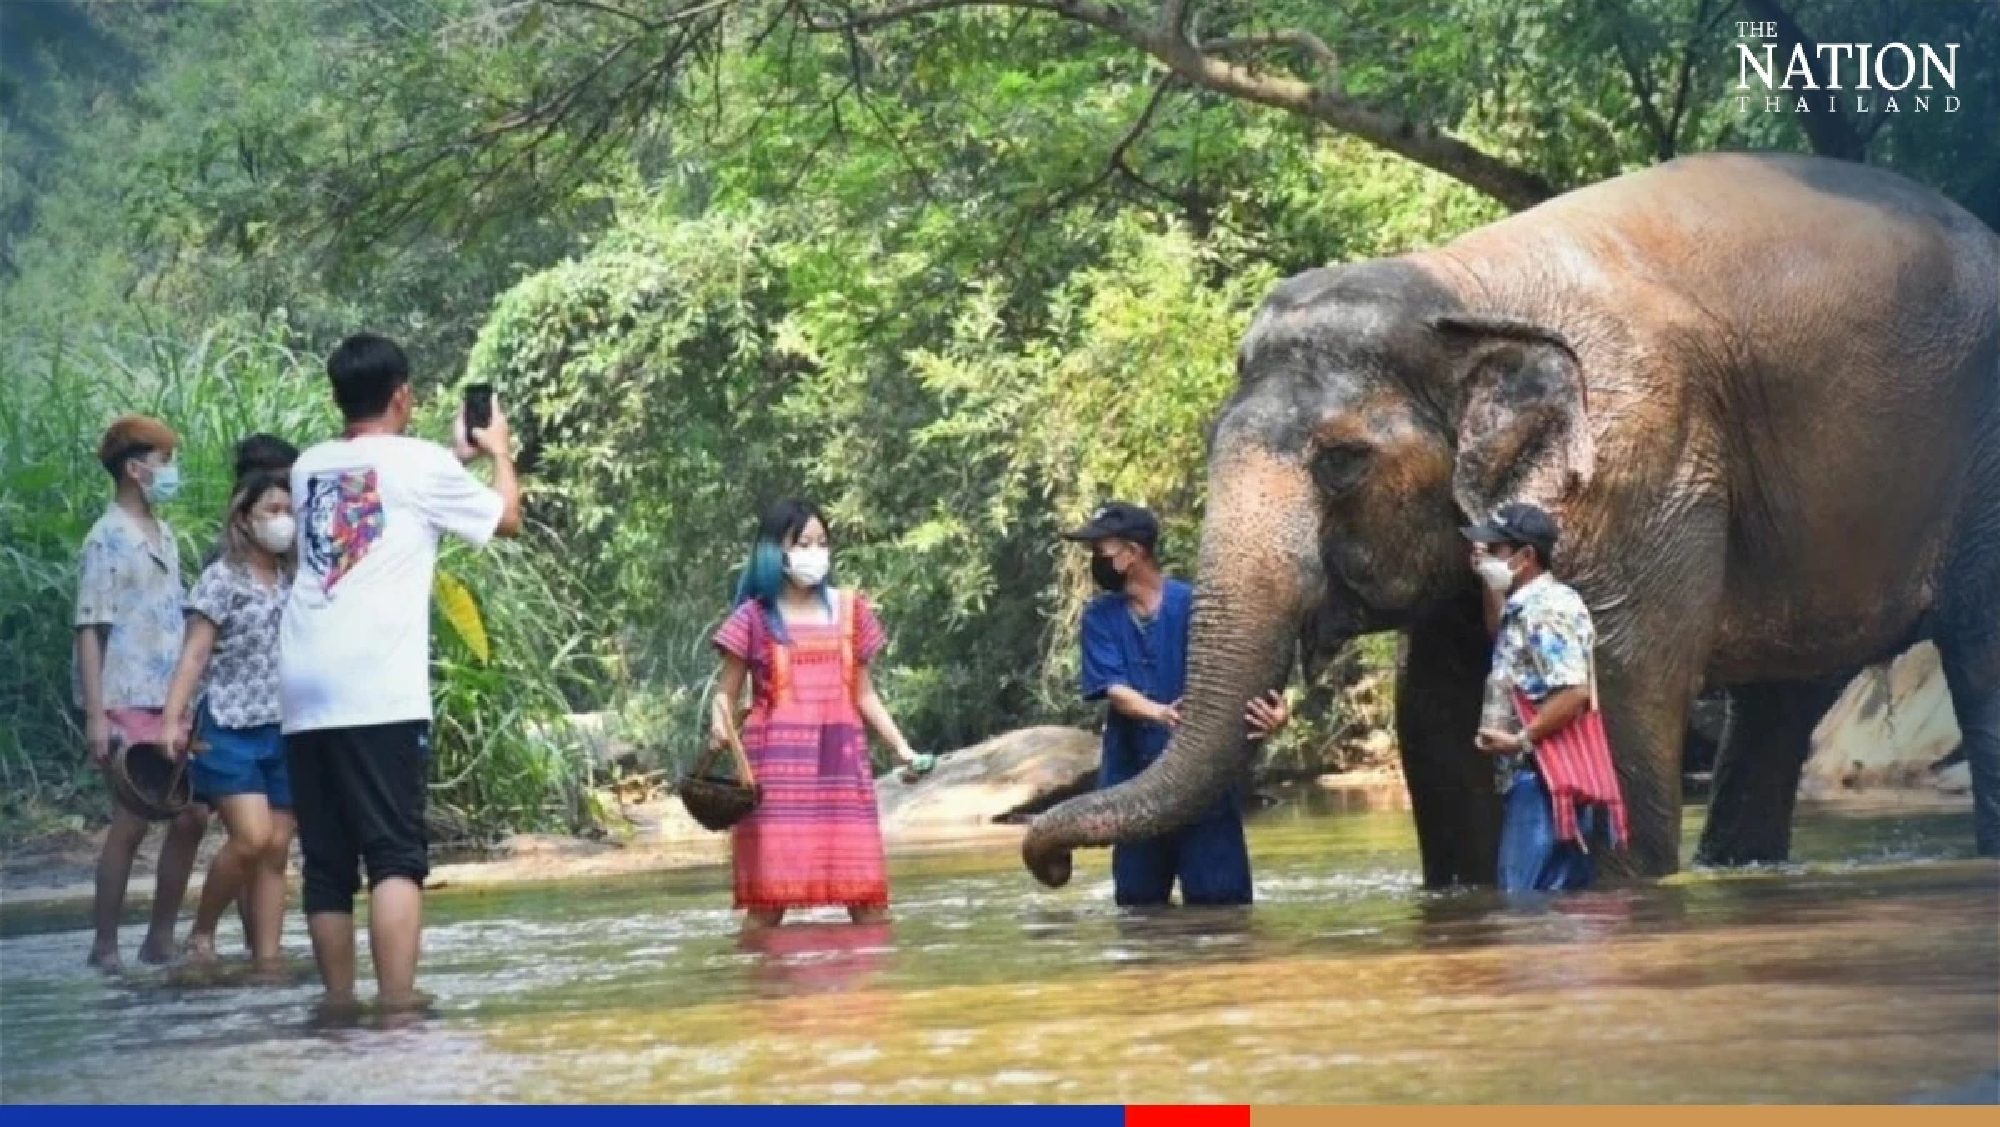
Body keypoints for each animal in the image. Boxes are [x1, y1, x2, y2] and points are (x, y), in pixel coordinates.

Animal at [1023, 151, 2000, 889]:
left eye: (1342, 462)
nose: (1051, 867)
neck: (1460, 285)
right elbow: (1432, 711)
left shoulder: (1638, 461)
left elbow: (1617, 688)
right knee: (1780, 704)